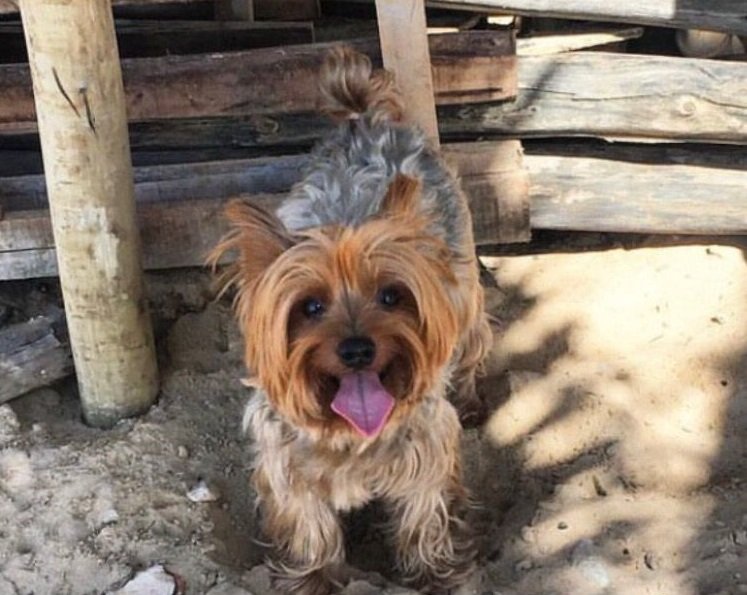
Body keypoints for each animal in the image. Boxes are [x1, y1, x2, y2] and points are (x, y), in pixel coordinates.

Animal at [210, 46, 490, 595]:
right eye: (311, 307)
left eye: (391, 296)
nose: (357, 349)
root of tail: (368, 125)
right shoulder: (284, 459)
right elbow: (308, 523)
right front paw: (313, 577)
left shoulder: (425, 442)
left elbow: (424, 509)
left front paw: (433, 573)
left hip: (463, 285)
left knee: (471, 338)